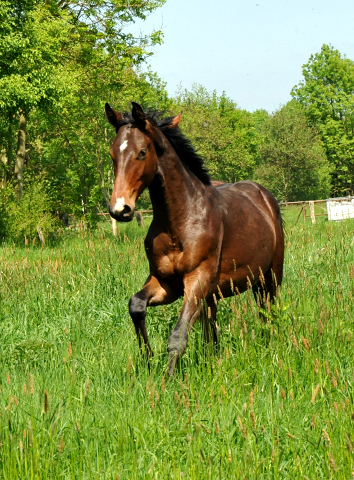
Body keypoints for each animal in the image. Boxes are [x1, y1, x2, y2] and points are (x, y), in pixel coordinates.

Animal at [103, 103, 284, 376]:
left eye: (142, 152)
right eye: (113, 154)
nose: (119, 209)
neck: (179, 222)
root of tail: (264, 195)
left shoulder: (197, 278)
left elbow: (178, 335)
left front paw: (167, 379)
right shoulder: (166, 283)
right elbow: (136, 305)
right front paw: (148, 360)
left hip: (270, 277)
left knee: (268, 311)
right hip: (222, 291)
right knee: (212, 326)